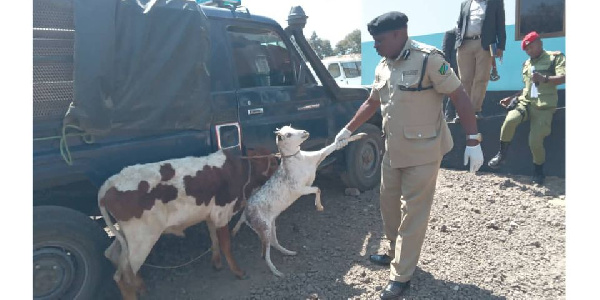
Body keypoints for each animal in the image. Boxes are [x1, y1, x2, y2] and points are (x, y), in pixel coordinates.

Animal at [98, 148, 276, 300]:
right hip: (142, 238)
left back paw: (140, 286)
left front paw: (217, 263)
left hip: (127, 236)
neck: (240, 171)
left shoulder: (210, 215)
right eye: (273, 162)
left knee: (114, 256)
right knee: (123, 275)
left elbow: (214, 238)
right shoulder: (221, 214)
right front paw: (238, 272)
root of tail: (110, 183)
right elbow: (226, 244)